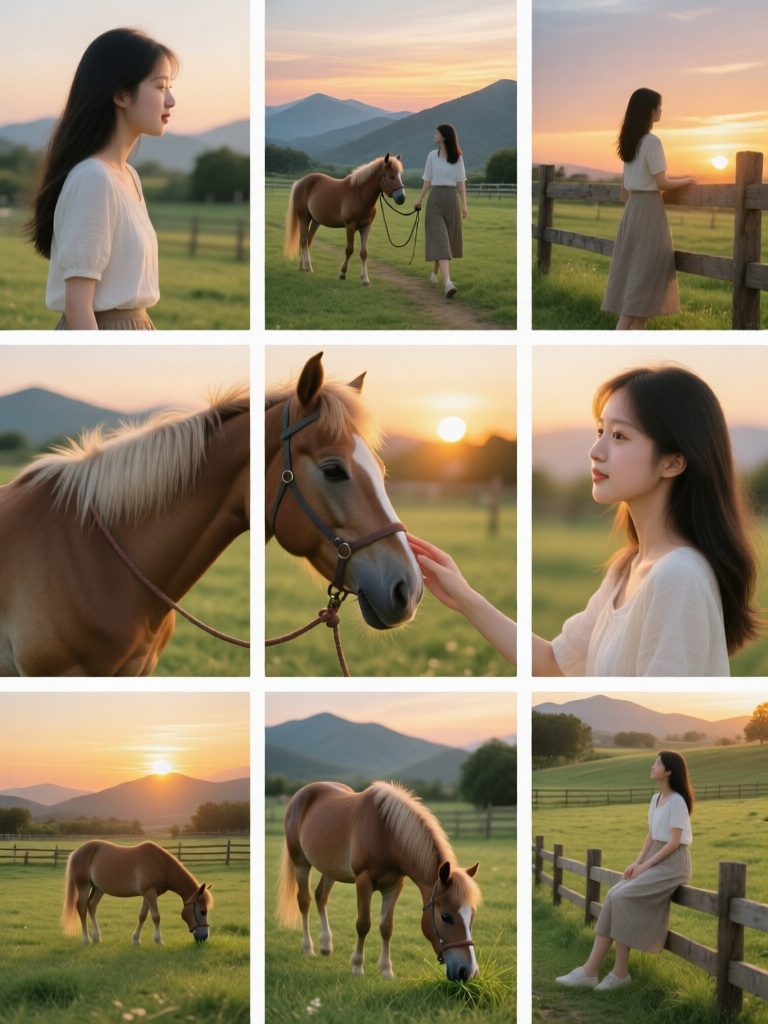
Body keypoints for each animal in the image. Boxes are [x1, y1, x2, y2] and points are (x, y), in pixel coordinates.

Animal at [61, 840, 213, 946]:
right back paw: (86, 940)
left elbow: (142, 916)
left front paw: (135, 940)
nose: (204, 937)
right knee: (82, 908)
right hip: (84, 886)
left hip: (99, 888)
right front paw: (159, 941)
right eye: (203, 912)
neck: (161, 864)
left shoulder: (148, 894)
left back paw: (97, 937)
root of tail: (76, 852)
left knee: (91, 906)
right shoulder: (150, 893)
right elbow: (156, 916)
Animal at [276, 781, 481, 981]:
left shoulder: (394, 886)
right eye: (446, 916)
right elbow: (363, 924)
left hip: (329, 868)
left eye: (472, 915)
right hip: (300, 862)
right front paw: (357, 966)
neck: (387, 834)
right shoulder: (364, 882)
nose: (467, 972)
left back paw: (326, 946)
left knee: (321, 897)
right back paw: (308, 947)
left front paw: (386, 970)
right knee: (304, 901)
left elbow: (386, 927)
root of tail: (300, 794)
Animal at [283, 153, 405, 285]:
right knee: (303, 240)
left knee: (307, 241)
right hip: (304, 217)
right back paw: (308, 266)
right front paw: (342, 273)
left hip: (315, 221)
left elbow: (364, 253)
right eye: (391, 176)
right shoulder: (350, 226)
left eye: (399, 175)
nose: (402, 198)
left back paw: (303, 266)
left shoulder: (366, 227)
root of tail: (300, 182)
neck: (359, 194)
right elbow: (349, 250)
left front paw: (365, 279)